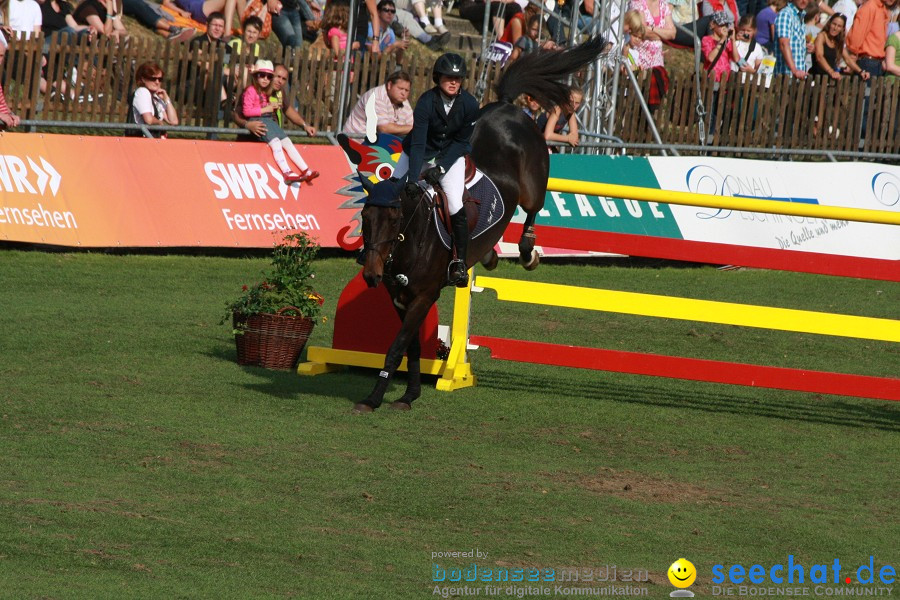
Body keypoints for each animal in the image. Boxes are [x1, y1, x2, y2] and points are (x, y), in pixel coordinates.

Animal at [352, 37, 604, 412]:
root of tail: (507, 107)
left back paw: (528, 253)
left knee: (532, 211)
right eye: (365, 217)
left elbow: (396, 348)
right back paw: (489, 255)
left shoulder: (423, 296)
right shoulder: (400, 297)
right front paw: (409, 395)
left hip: (533, 186)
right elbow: (411, 349)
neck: (411, 239)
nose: (371, 274)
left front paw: (374, 398)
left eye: (395, 218)